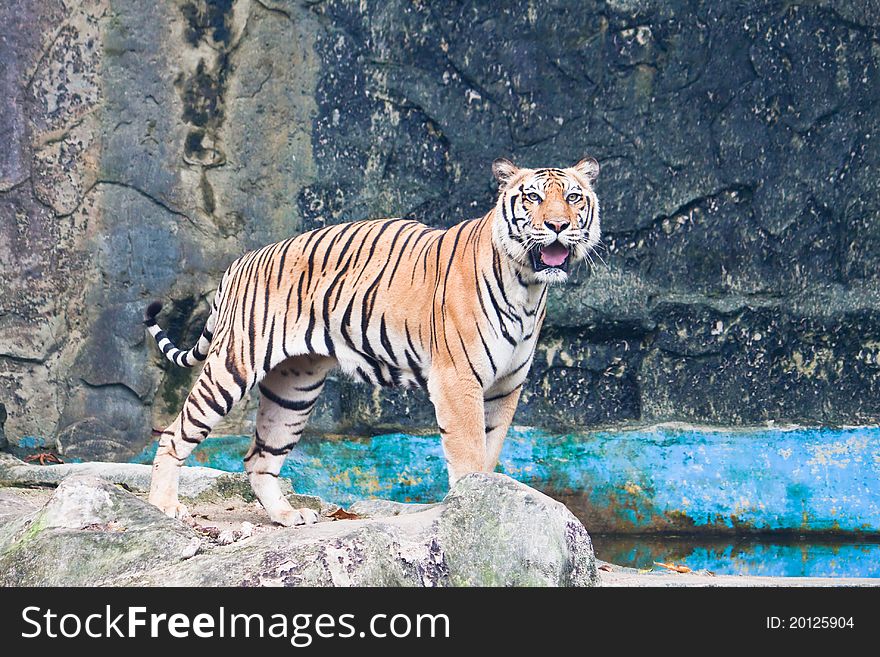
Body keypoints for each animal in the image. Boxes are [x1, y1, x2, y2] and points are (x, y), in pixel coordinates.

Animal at [146, 158, 600, 524]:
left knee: (259, 457)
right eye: (532, 197)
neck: (528, 287)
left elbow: (489, 450)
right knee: (174, 435)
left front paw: (489, 501)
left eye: (573, 197)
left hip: (294, 389)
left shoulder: (505, 387)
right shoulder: (458, 381)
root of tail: (240, 261)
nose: (558, 225)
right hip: (233, 365)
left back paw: (288, 516)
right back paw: (164, 506)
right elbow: (469, 453)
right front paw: (475, 508)